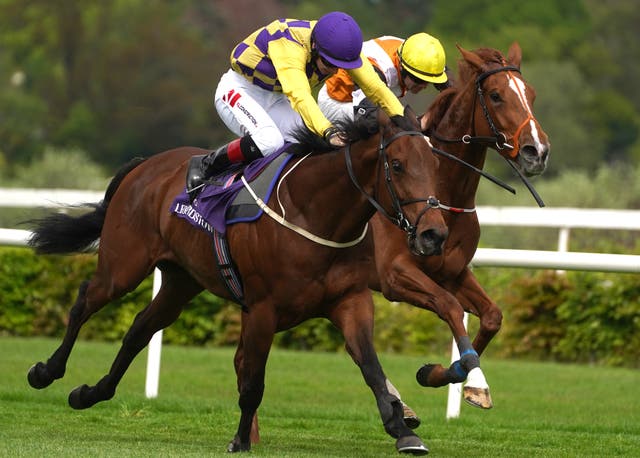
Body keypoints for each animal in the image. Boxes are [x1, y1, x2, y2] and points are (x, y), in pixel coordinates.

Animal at [23, 110, 444, 454]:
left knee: (140, 329)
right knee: (84, 301)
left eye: (435, 163)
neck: (313, 212)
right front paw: (240, 440)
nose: (434, 235)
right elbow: (253, 381)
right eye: (397, 165)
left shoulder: (349, 299)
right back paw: (46, 371)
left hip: (180, 281)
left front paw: (402, 429)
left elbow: (371, 366)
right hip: (123, 265)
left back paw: (90, 393)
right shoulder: (261, 309)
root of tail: (146, 165)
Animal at [370, 42, 552, 408]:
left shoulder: (452, 272)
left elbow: (493, 316)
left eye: (531, 94)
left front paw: (447, 376)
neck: (444, 195)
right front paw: (471, 379)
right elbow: (449, 307)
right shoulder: (394, 274)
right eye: (496, 96)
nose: (537, 151)